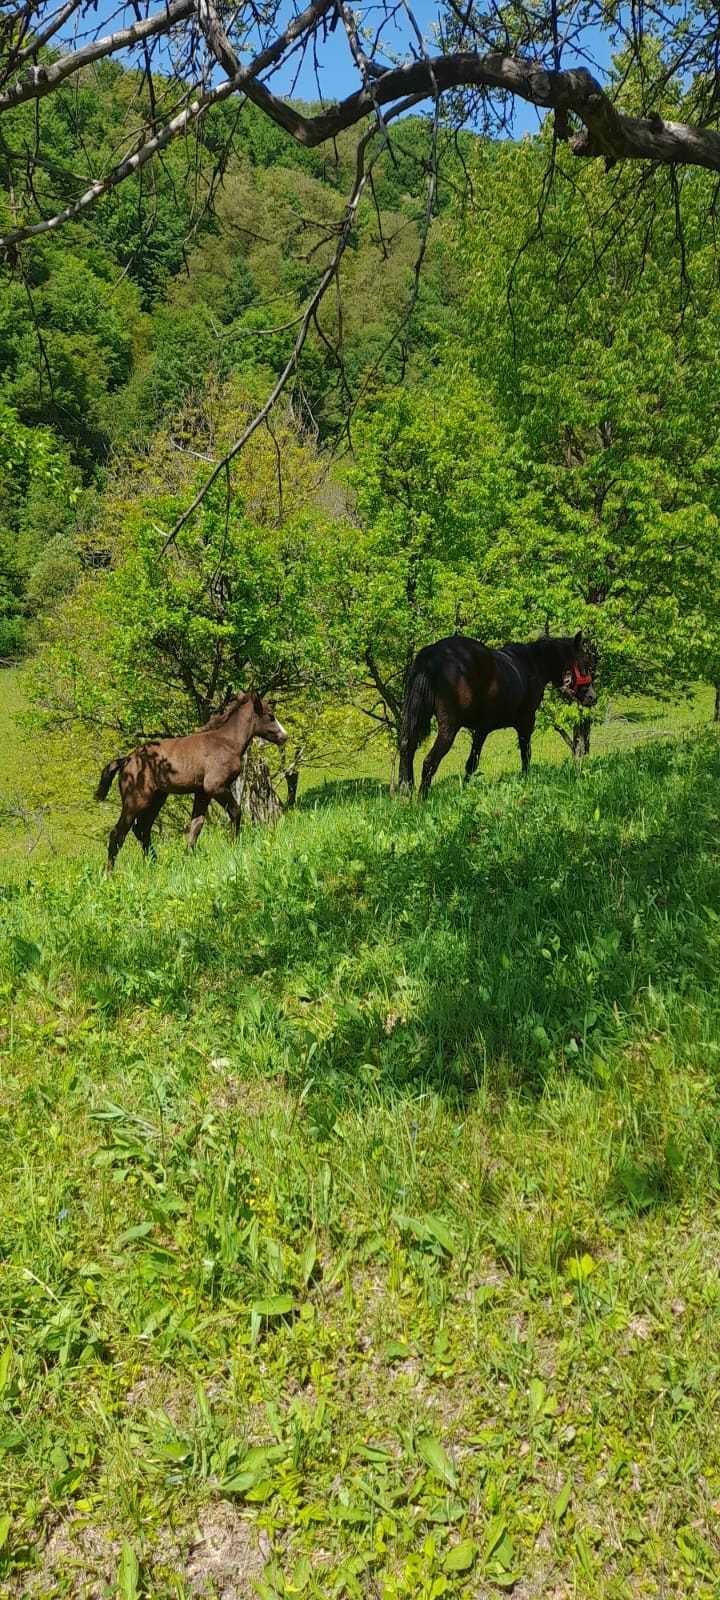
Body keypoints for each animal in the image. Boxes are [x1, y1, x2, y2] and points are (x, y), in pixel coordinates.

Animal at [94, 694, 286, 870]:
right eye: (270, 715)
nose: (285, 737)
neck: (226, 742)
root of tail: (126, 759)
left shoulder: (202, 792)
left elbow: (196, 825)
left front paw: (187, 858)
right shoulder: (216, 786)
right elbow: (235, 812)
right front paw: (233, 845)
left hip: (157, 799)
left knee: (142, 829)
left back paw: (155, 864)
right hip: (136, 800)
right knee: (118, 833)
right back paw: (109, 873)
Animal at [400, 630, 595, 793]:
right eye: (585, 663)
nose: (592, 696)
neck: (531, 664)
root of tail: (432, 654)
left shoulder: (481, 730)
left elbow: (472, 763)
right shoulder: (525, 723)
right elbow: (525, 753)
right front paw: (526, 779)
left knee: (407, 749)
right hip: (449, 728)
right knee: (429, 762)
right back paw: (421, 799)